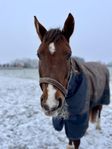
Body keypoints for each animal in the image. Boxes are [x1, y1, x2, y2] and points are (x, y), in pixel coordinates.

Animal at [33, 13, 110, 149]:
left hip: (101, 99)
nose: (50, 104)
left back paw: (98, 126)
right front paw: (69, 145)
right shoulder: (66, 117)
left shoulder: (78, 118)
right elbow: (70, 135)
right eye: (38, 54)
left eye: (68, 54)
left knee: (99, 111)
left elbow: (76, 140)